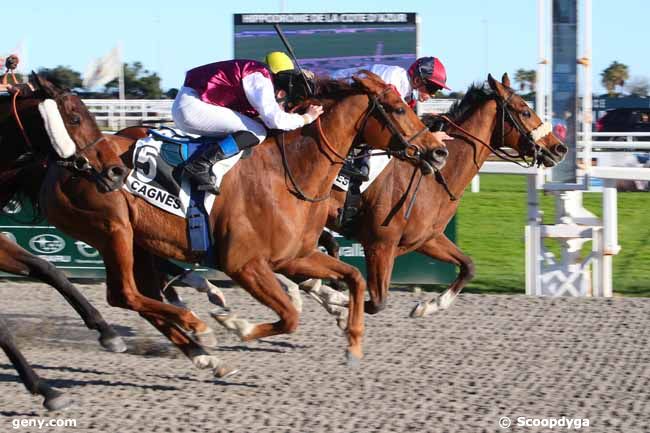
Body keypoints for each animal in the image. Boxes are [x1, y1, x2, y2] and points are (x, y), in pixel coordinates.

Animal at [15, 71, 448, 372]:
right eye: (398, 109)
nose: (438, 151)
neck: (291, 172)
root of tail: (60, 164)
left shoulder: (294, 256)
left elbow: (354, 278)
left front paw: (353, 344)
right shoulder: (244, 264)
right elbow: (289, 316)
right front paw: (236, 326)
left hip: (137, 240)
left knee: (145, 295)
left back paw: (204, 354)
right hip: (113, 229)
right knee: (124, 294)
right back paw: (198, 327)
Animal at [316, 73, 564, 318]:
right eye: (525, 111)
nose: (560, 148)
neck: (434, 178)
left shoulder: (427, 238)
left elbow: (468, 266)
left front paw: (426, 306)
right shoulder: (380, 244)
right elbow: (375, 301)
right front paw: (332, 296)